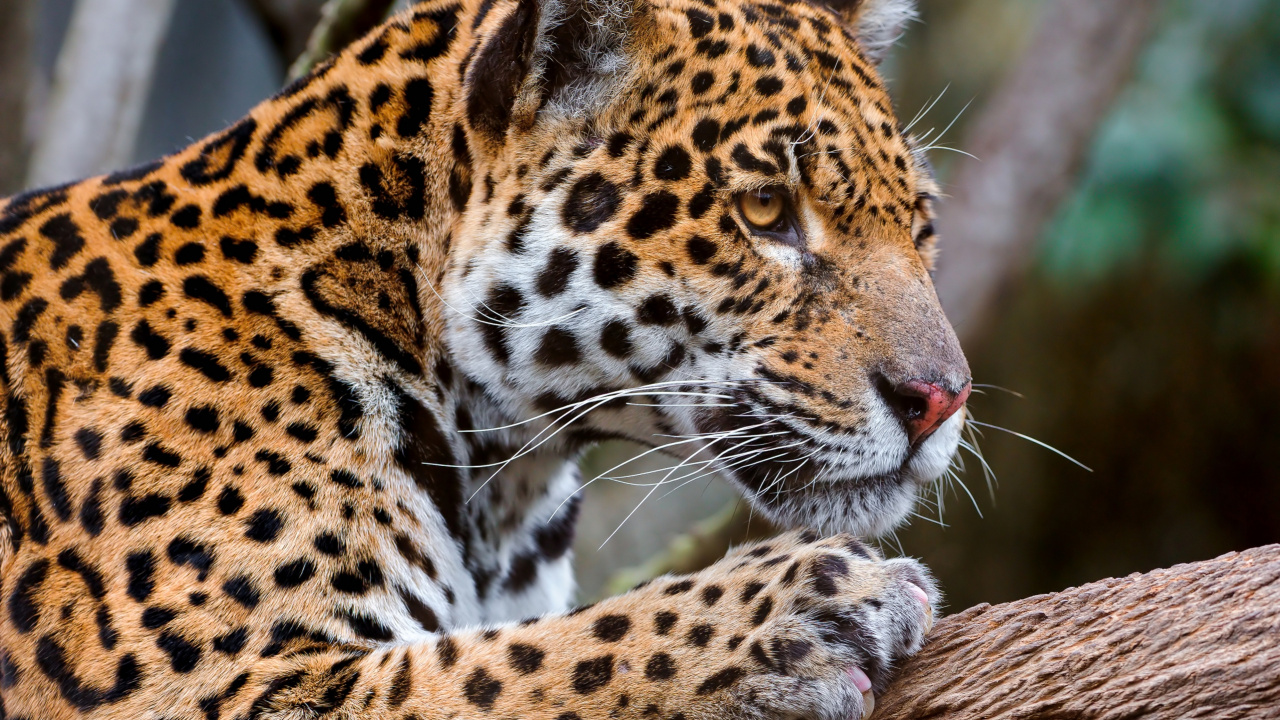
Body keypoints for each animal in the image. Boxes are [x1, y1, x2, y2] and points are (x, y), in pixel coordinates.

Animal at [0, 0, 971, 716]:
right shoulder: (215, 685)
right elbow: (517, 663)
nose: (941, 399)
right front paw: (793, 610)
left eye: (922, 224)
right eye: (766, 210)